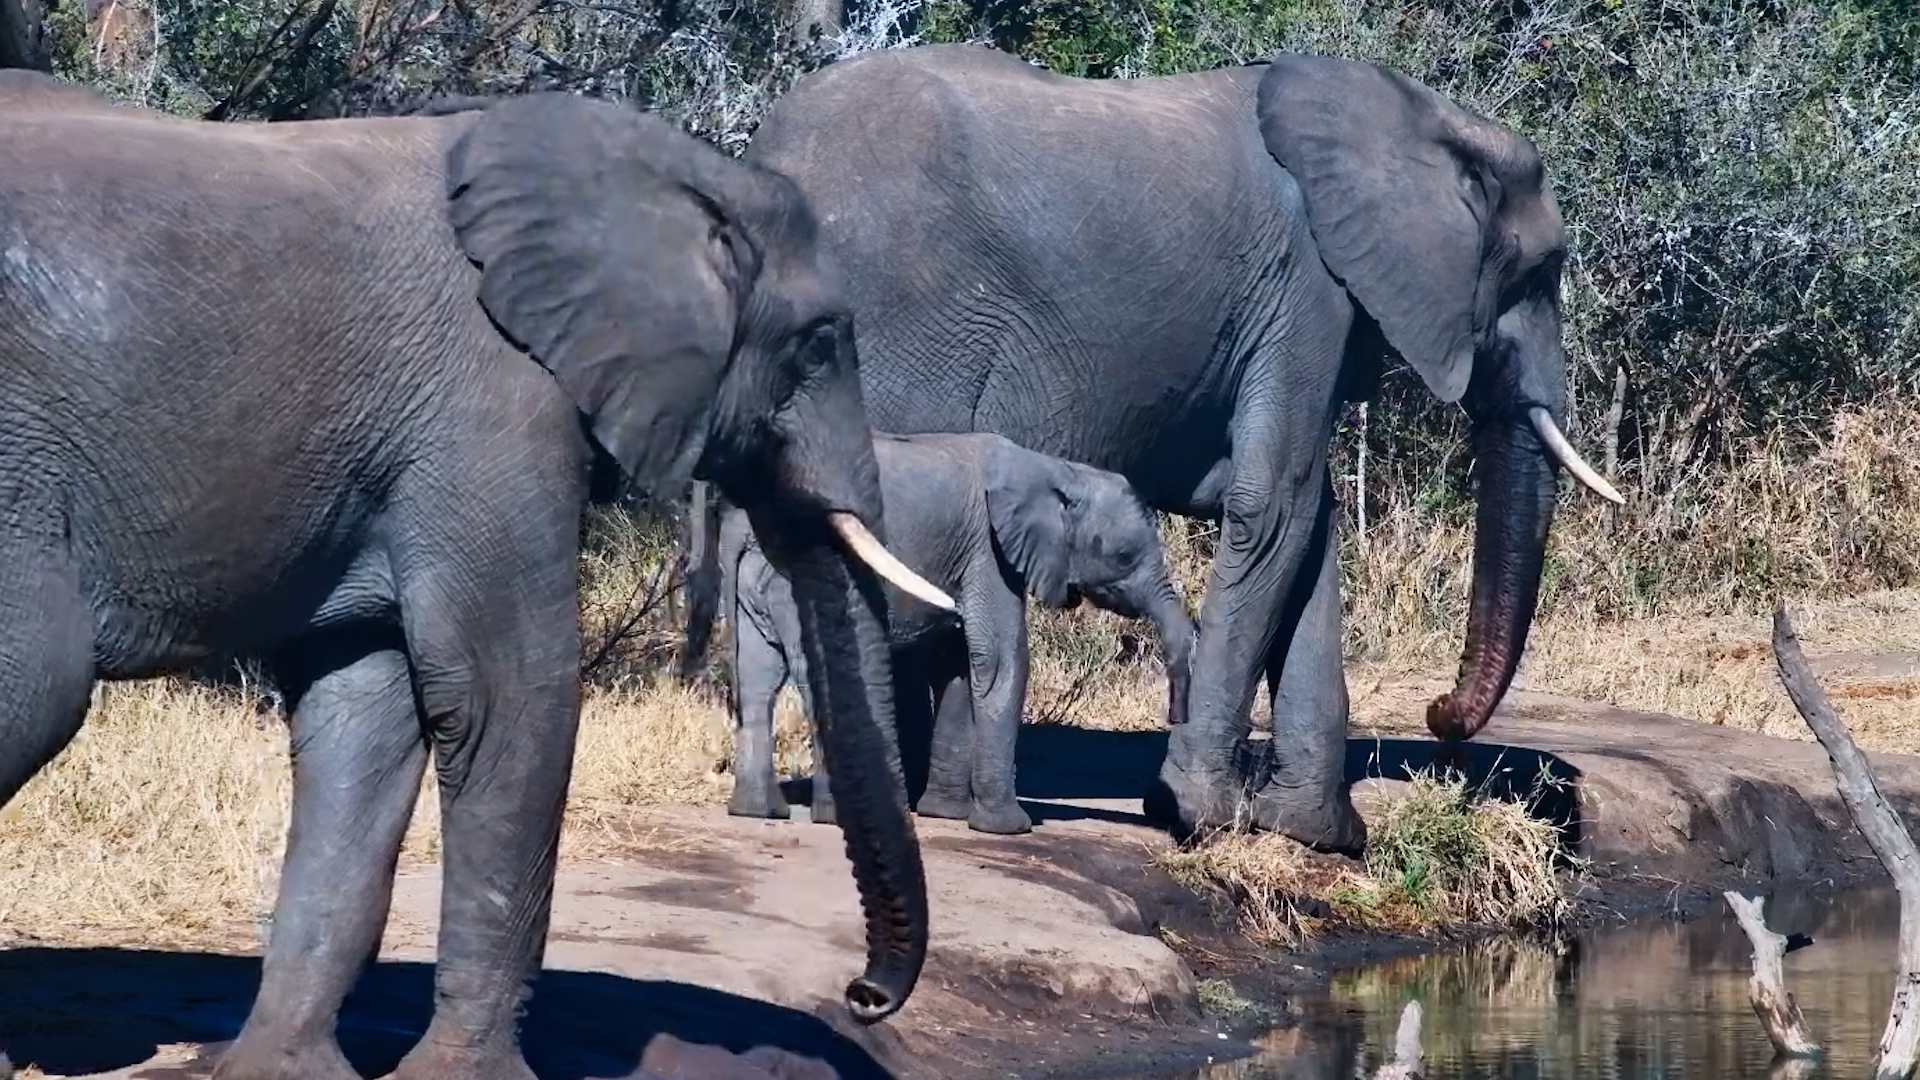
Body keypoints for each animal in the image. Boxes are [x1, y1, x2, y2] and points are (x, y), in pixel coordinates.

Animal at [0, 74, 955, 1079]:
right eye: (820, 343)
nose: (864, 995)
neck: (671, 170)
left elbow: (368, 710)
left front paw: (283, 1073)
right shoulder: (496, 405)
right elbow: (508, 695)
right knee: (38, 688)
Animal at [687, 432, 1196, 835]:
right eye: (1125, 556)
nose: (1176, 714)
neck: (1057, 470)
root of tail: (739, 519)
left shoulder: (964, 556)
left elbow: (957, 663)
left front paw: (944, 814)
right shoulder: (989, 551)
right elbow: (1001, 661)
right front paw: (1011, 829)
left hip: (757, 578)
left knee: (758, 679)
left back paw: (758, 813)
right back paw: (835, 818)